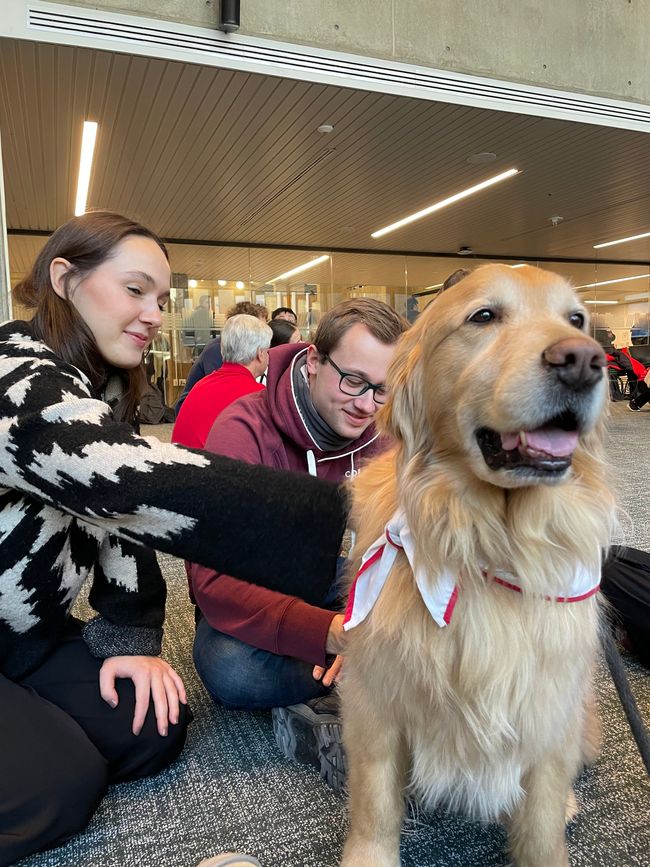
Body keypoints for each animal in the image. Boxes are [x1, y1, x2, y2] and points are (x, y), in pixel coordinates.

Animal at [340, 264, 616, 867]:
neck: (489, 539)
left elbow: (541, 821)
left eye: (577, 319)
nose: (584, 359)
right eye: (484, 316)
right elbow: (374, 802)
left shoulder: (548, 710)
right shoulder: (374, 699)